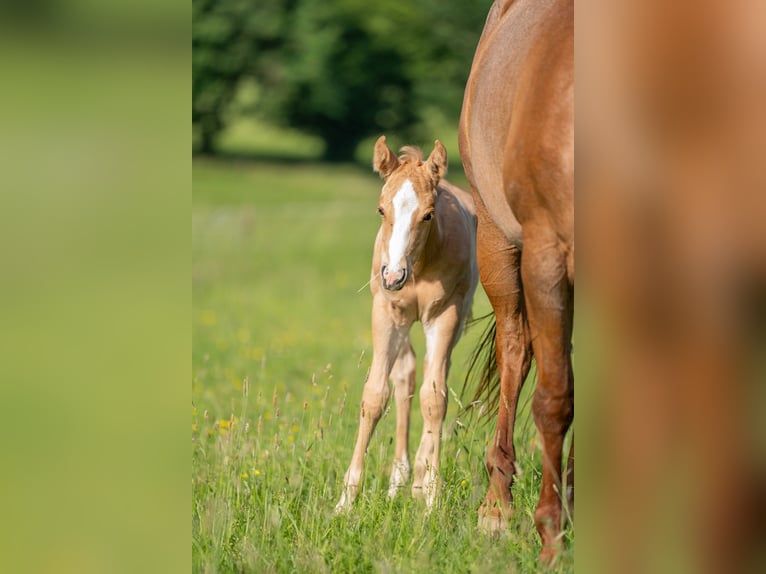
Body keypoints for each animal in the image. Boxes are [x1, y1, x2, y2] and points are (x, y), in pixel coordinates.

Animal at [335, 136, 478, 512]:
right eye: (381, 210)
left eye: (428, 215)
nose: (393, 276)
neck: (420, 264)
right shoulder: (387, 312)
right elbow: (375, 395)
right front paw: (346, 501)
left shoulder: (445, 315)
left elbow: (435, 399)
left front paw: (431, 496)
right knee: (407, 374)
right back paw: (398, 479)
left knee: (432, 377)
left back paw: (418, 481)